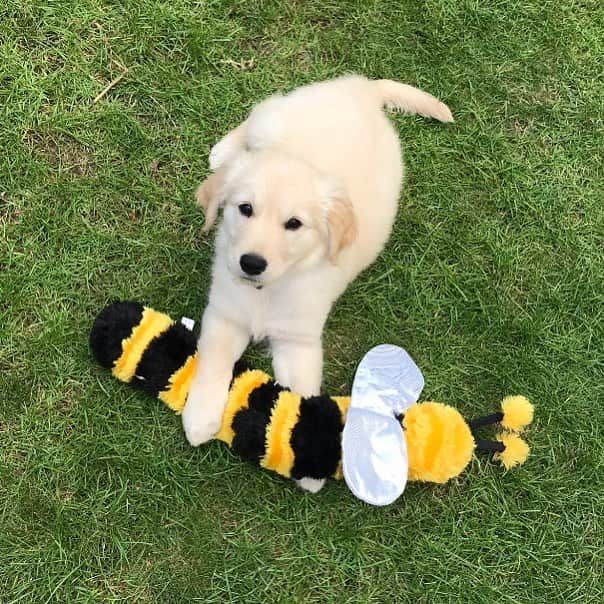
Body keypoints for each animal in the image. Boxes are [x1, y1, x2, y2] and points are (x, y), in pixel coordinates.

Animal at [182, 74, 450, 490]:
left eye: (294, 224)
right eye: (245, 209)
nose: (251, 263)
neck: (268, 290)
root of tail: (364, 88)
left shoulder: (300, 342)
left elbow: (304, 395)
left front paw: (308, 455)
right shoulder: (225, 315)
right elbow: (213, 363)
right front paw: (199, 416)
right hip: (273, 119)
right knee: (253, 121)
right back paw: (224, 151)